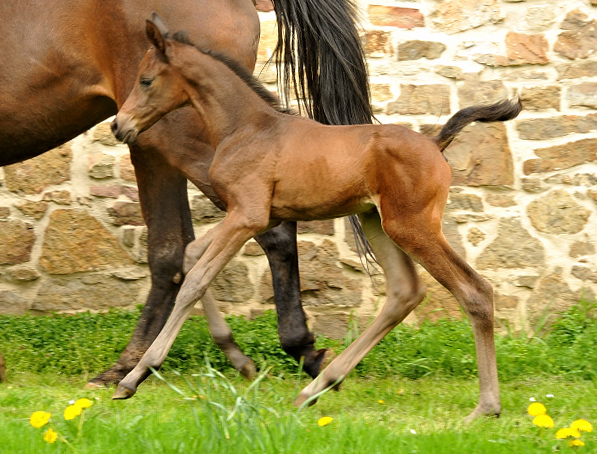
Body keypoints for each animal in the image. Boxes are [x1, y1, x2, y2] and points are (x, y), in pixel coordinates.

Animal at [0, 0, 370, 384]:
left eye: (147, 80)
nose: (117, 125)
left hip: (176, 140)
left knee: (255, 235)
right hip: (153, 144)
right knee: (178, 251)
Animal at [112, 17, 520, 418]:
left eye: (146, 80)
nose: (119, 125)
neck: (247, 128)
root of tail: (436, 143)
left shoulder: (248, 216)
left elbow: (195, 279)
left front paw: (134, 377)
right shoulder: (256, 216)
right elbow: (192, 255)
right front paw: (234, 356)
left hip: (412, 227)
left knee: (474, 291)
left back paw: (486, 407)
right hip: (376, 222)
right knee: (405, 292)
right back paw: (317, 387)